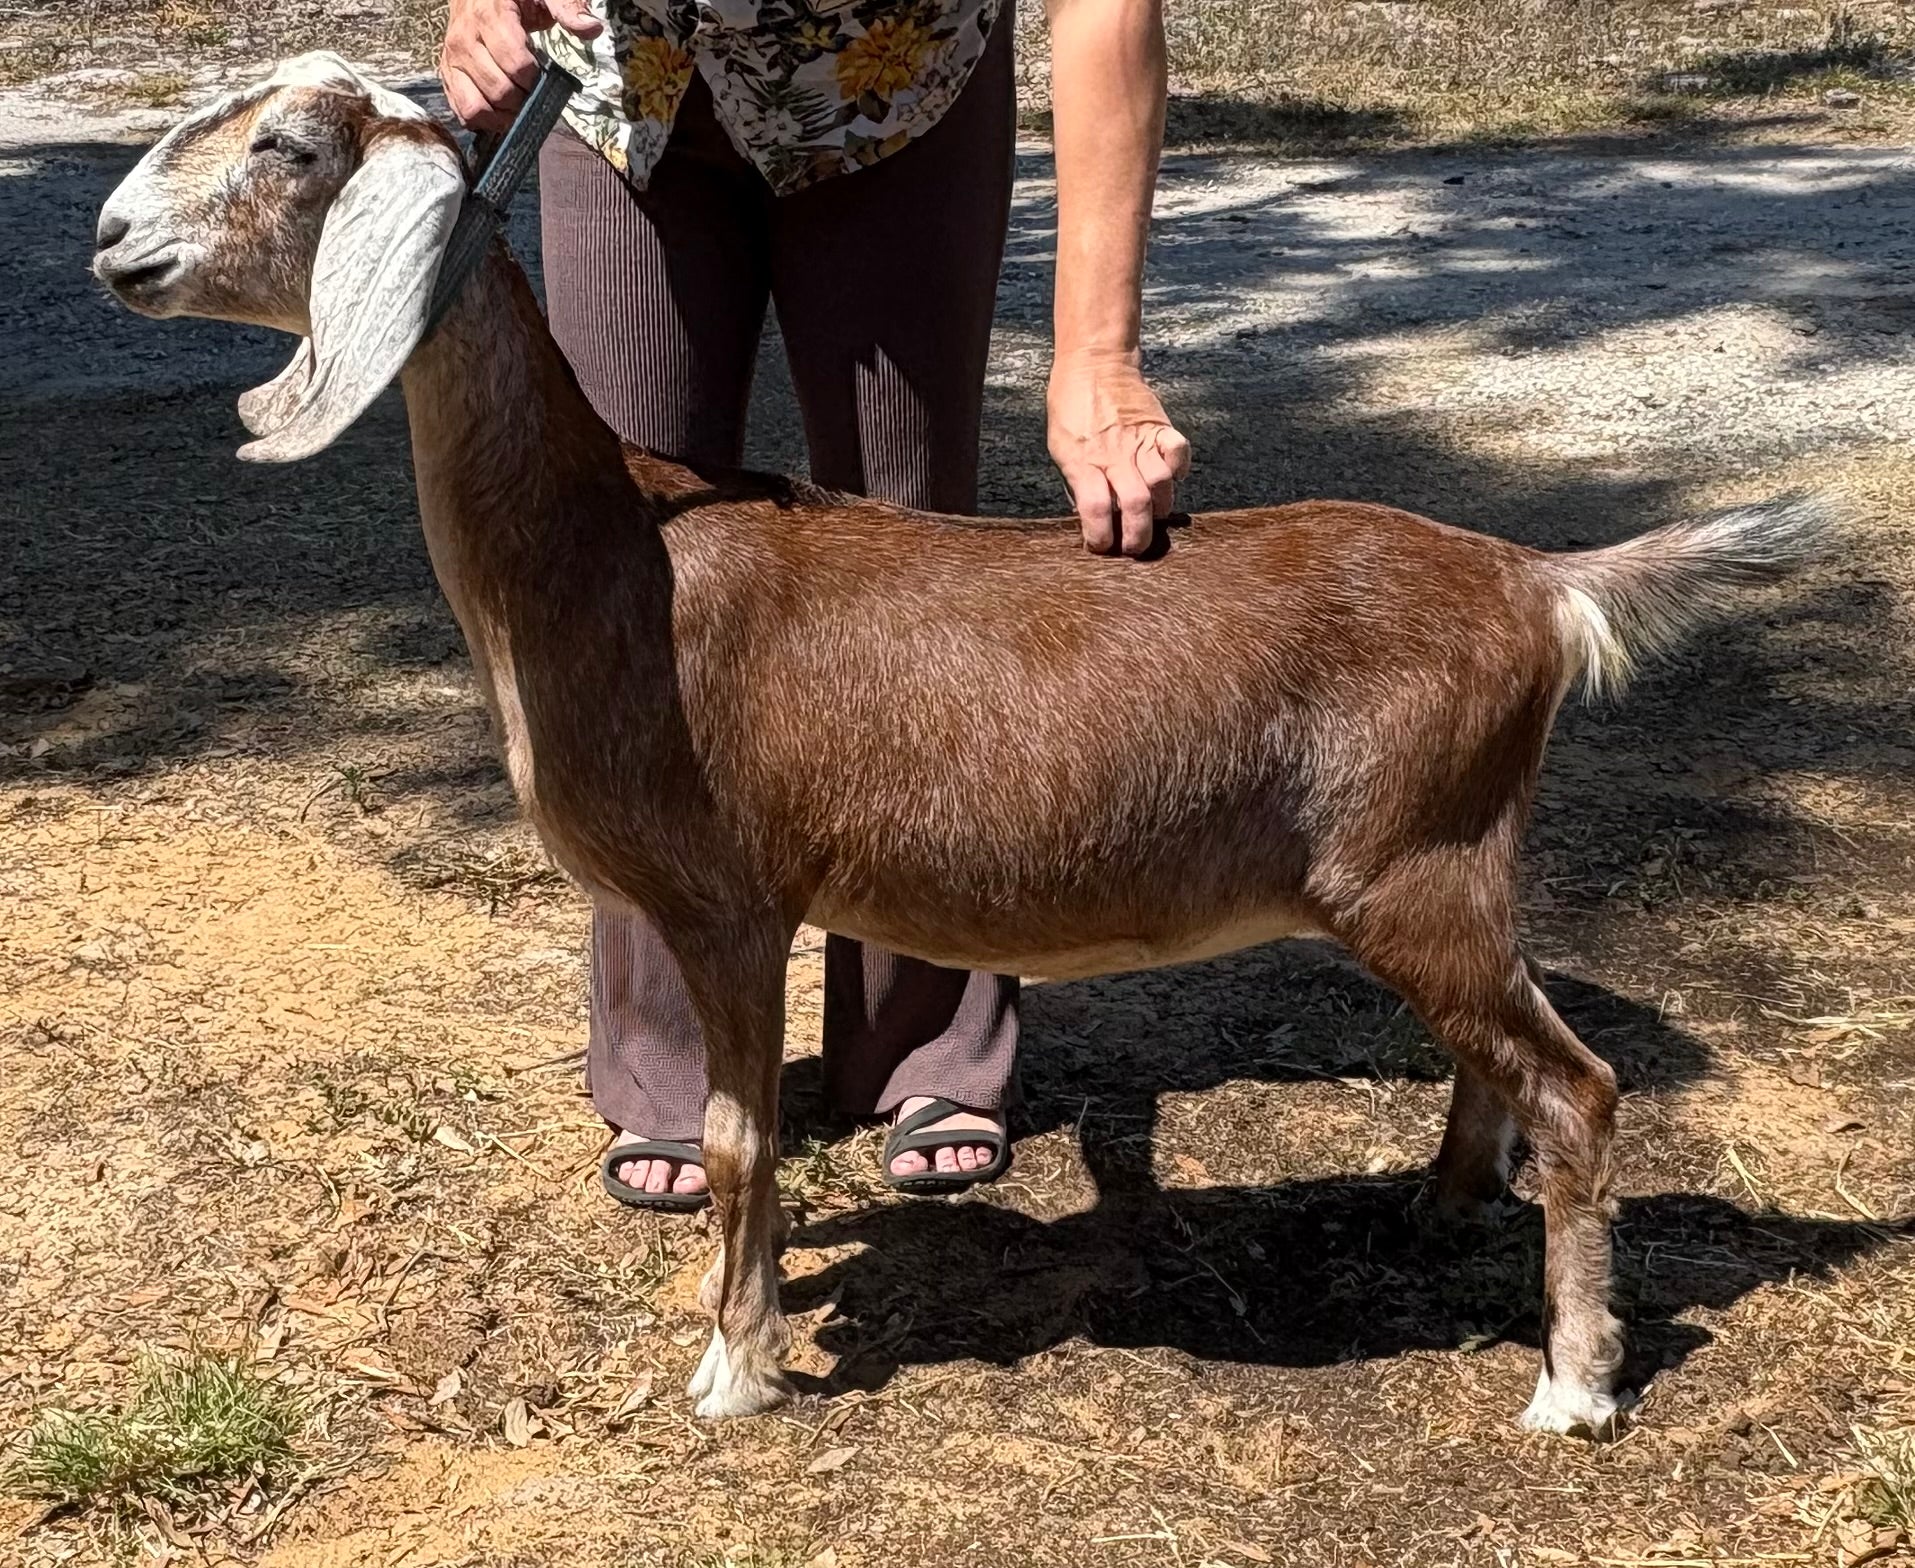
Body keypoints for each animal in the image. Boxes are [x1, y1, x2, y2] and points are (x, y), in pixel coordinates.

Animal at [94, 53, 1832, 1436]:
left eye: (288, 146)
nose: (112, 242)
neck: (612, 552)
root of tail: (1535, 582)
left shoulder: (729, 898)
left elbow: (736, 1140)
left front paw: (734, 1369)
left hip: (1414, 863)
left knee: (1581, 1087)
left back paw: (1571, 1384)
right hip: (1453, 872)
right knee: (1506, 1061)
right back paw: (1433, 1210)